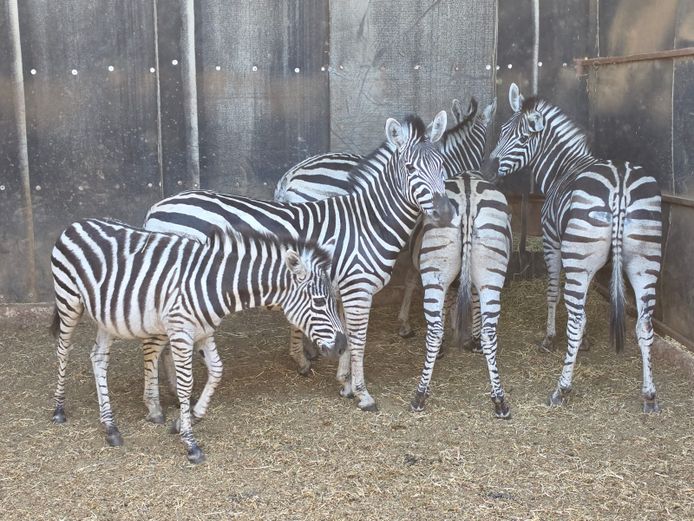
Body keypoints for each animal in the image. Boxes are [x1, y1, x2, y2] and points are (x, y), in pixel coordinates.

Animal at [49, 218, 346, 463]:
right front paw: (191, 444)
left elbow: (217, 370)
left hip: (107, 315)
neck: (215, 284)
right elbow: (185, 385)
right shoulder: (182, 333)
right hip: (68, 301)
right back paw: (59, 409)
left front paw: (188, 418)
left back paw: (110, 427)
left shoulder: (205, 331)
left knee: (98, 358)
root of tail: (76, 223)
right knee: (63, 350)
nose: (343, 345)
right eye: (319, 301)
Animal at [144, 112, 453, 412]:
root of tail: (156, 208)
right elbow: (358, 340)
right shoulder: (358, 289)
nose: (446, 213)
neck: (368, 222)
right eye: (410, 168)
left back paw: (174, 394)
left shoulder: (341, 290)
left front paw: (345, 384)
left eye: (443, 165)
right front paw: (362, 394)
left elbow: (345, 335)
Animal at [486, 83, 663, 413]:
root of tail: (620, 183)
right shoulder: (582, 254)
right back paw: (649, 395)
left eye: (523, 138)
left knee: (577, 318)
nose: (488, 168)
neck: (563, 168)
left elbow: (553, 291)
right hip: (644, 261)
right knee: (644, 326)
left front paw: (549, 337)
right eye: (502, 131)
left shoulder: (553, 242)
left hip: (582, 255)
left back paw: (561, 389)